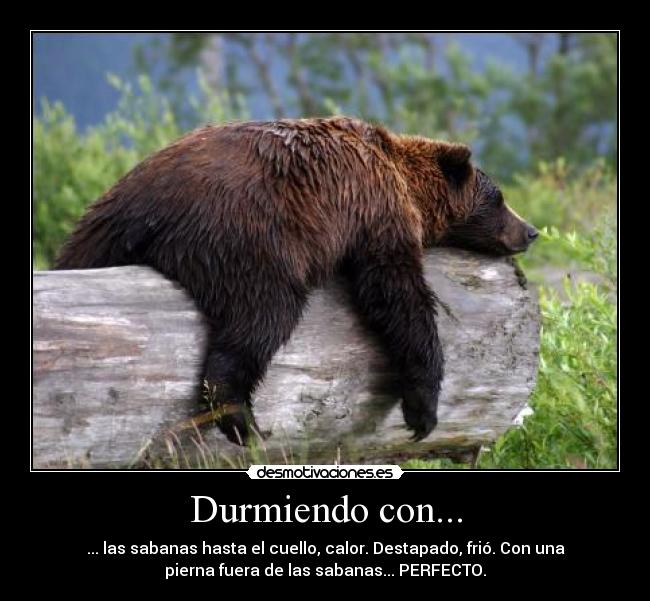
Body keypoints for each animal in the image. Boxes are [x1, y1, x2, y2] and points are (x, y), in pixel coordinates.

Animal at [55, 116, 538, 445]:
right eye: (499, 198)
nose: (531, 231)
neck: (403, 180)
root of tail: (145, 208)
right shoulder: (376, 211)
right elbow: (396, 294)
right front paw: (422, 411)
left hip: (96, 232)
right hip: (247, 236)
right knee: (263, 315)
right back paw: (242, 420)